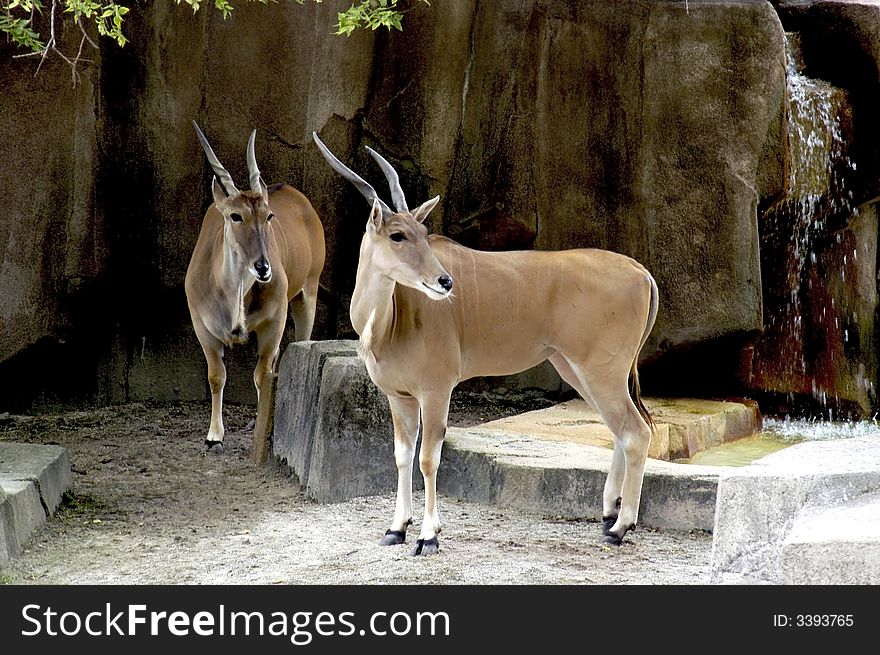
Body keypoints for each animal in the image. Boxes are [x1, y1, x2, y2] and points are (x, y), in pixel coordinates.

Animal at [187, 121, 324, 452]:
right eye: (235, 216)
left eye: (268, 216)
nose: (264, 268)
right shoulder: (202, 327)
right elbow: (216, 376)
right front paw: (214, 436)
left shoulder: (275, 322)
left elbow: (263, 374)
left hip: (307, 295)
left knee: (298, 348)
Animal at [312, 132, 656, 552]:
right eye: (397, 234)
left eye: (424, 235)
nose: (444, 282)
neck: (390, 320)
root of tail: (641, 272)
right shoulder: (399, 397)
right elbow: (401, 456)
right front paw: (396, 528)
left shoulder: (436, 391)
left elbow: (428, 458)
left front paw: (428, 535)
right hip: (580, 372)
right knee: (620, 430)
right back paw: (609, 515)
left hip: (601, 372)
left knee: (635, 432)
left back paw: (621, 526)